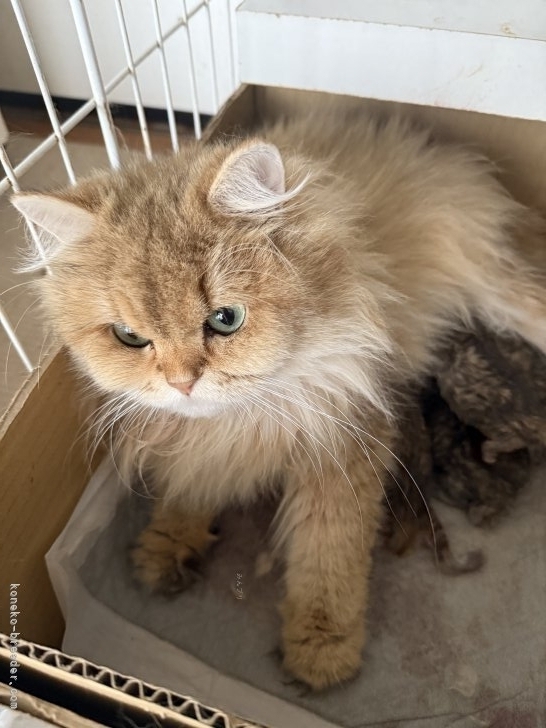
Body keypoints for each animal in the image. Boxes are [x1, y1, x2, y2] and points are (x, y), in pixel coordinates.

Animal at [11, 108, 544, 688]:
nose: (181, 382)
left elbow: (328, 556)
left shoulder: (345, 442)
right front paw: (169, 542)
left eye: (226, 319)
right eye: (129, 337)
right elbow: (190, 485)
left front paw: (322, 646)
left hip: (498, 285)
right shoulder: (196, 442)